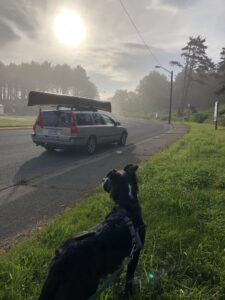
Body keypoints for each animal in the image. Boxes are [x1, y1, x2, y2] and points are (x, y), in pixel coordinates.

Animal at [39, 165, 146, 298]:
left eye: (107, 179)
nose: (102, 179)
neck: (126, 205)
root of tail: (60, 260)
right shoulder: (135, 253)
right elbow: (129, 278)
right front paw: (128, 294)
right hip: (83, 288)